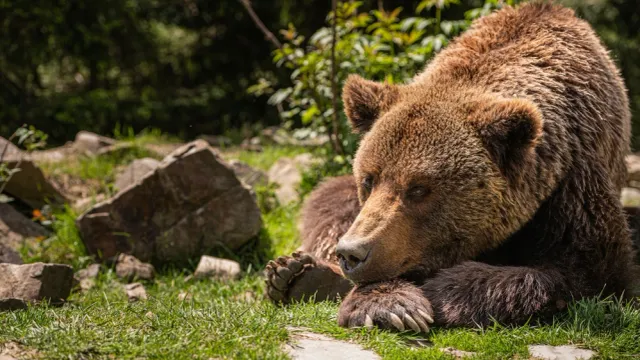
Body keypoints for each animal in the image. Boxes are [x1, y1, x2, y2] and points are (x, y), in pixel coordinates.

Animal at [262, 2, 636, 332]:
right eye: (368, 179)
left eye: (418, 188)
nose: (352, 253)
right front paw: (390, 305)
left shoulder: (573, 181)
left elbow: (589, 272)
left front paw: (438, 291)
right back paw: (296, 274)